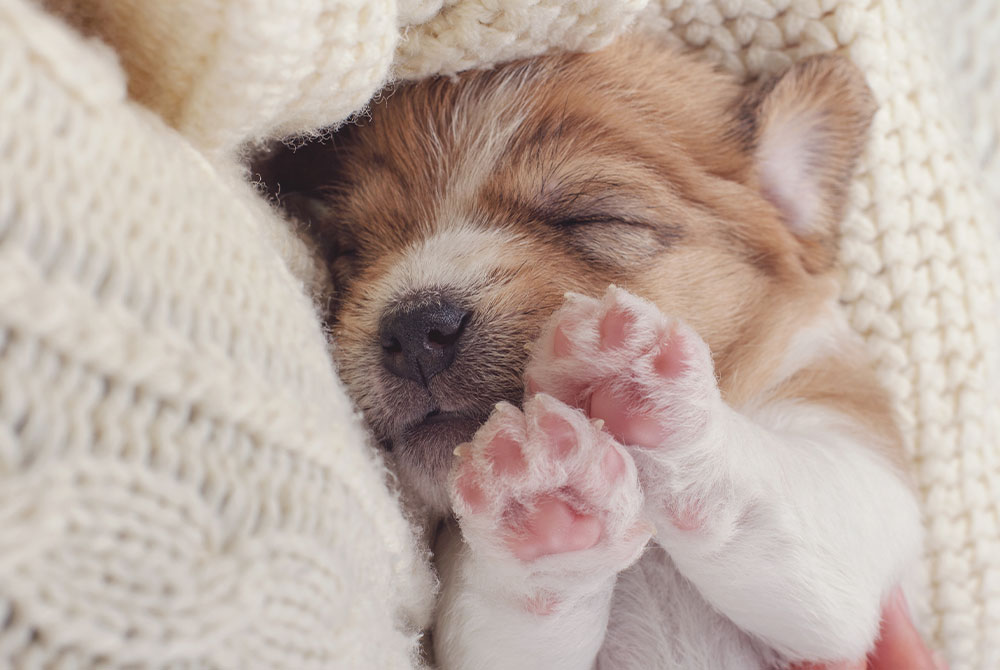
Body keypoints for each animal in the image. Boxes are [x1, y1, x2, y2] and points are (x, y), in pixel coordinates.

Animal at [256, 36, 920, 670]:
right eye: (351, 250)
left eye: (592, 217)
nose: (416, 327)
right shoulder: (490, 642)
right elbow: (520, 603)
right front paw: (541, 493)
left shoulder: (852, 491)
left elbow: (774, 488)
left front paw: (633, 380)